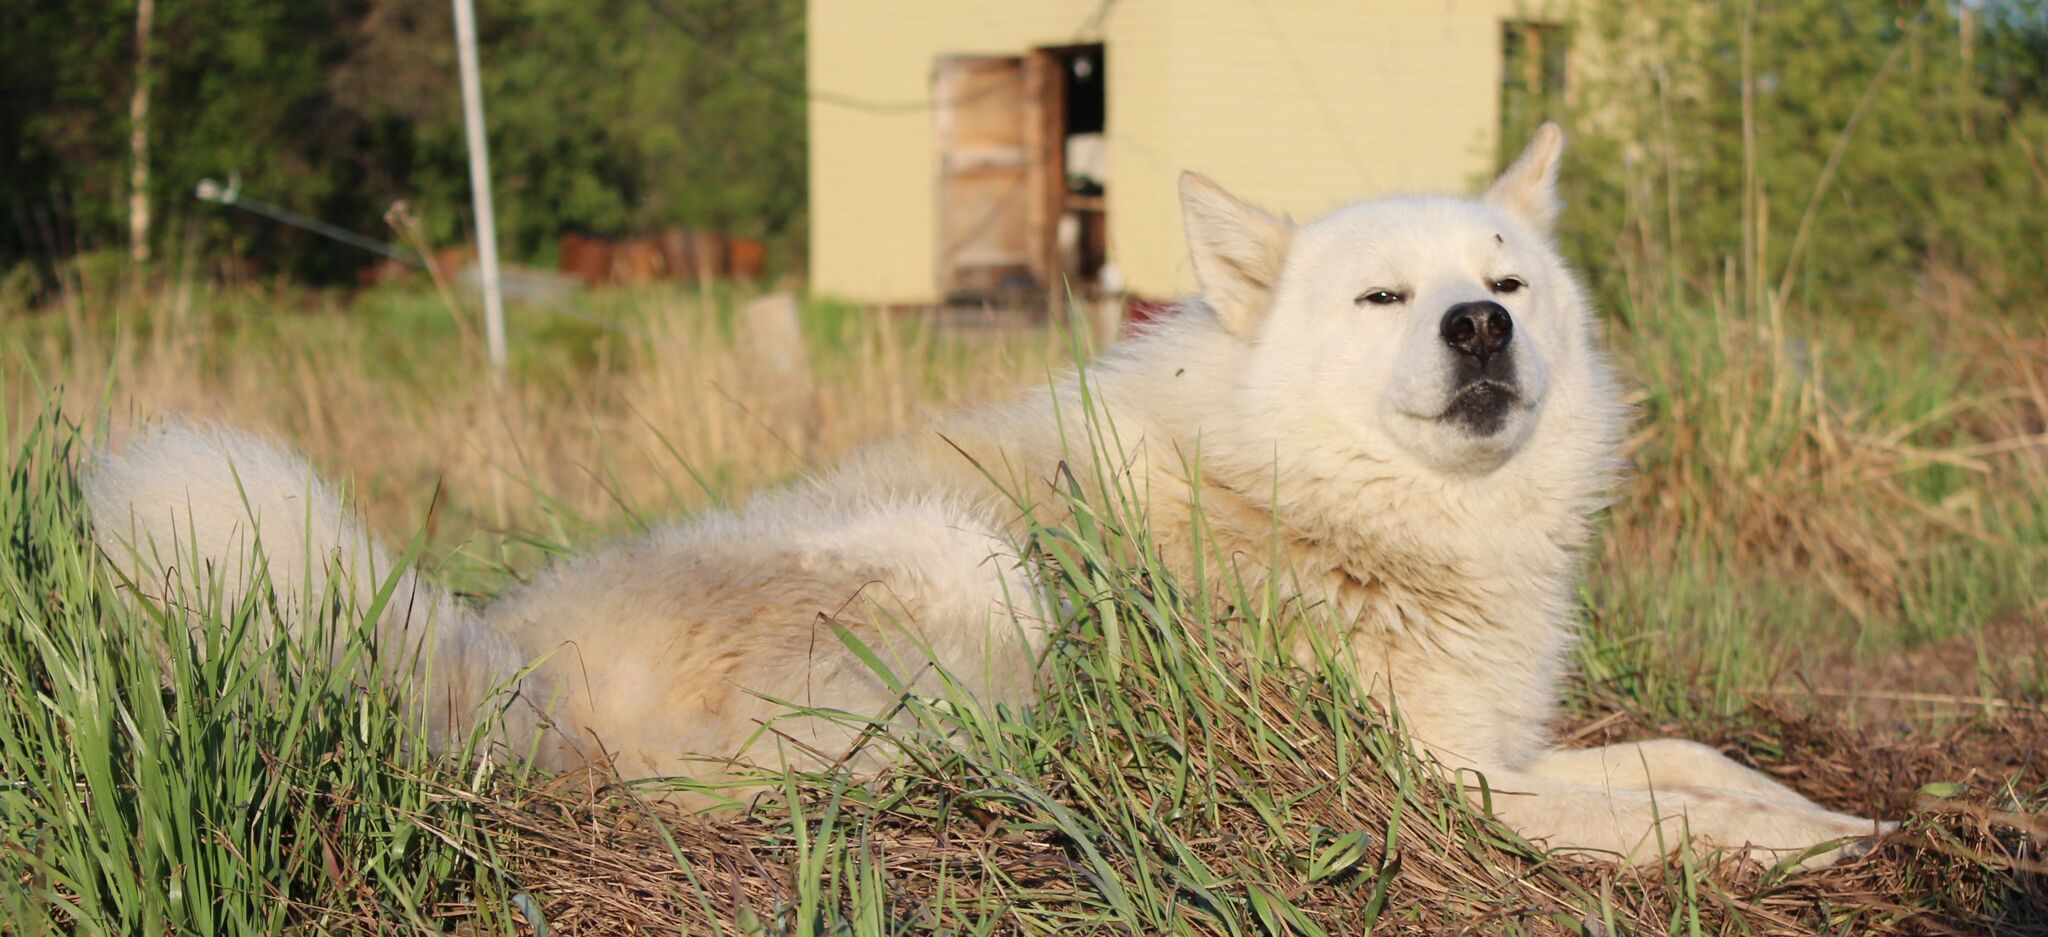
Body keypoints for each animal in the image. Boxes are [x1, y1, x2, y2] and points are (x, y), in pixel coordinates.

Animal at [92, 124, 1884, 863]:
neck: (1344, 506)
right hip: (969, 567)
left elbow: (1693, 757)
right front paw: (1772, 857)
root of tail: (502, 665)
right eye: (1387, 298)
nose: (1477, 327)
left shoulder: (1498, 742)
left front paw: (1839, 818)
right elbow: (1649, 811)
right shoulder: (1433, 780)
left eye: (1504, 279)